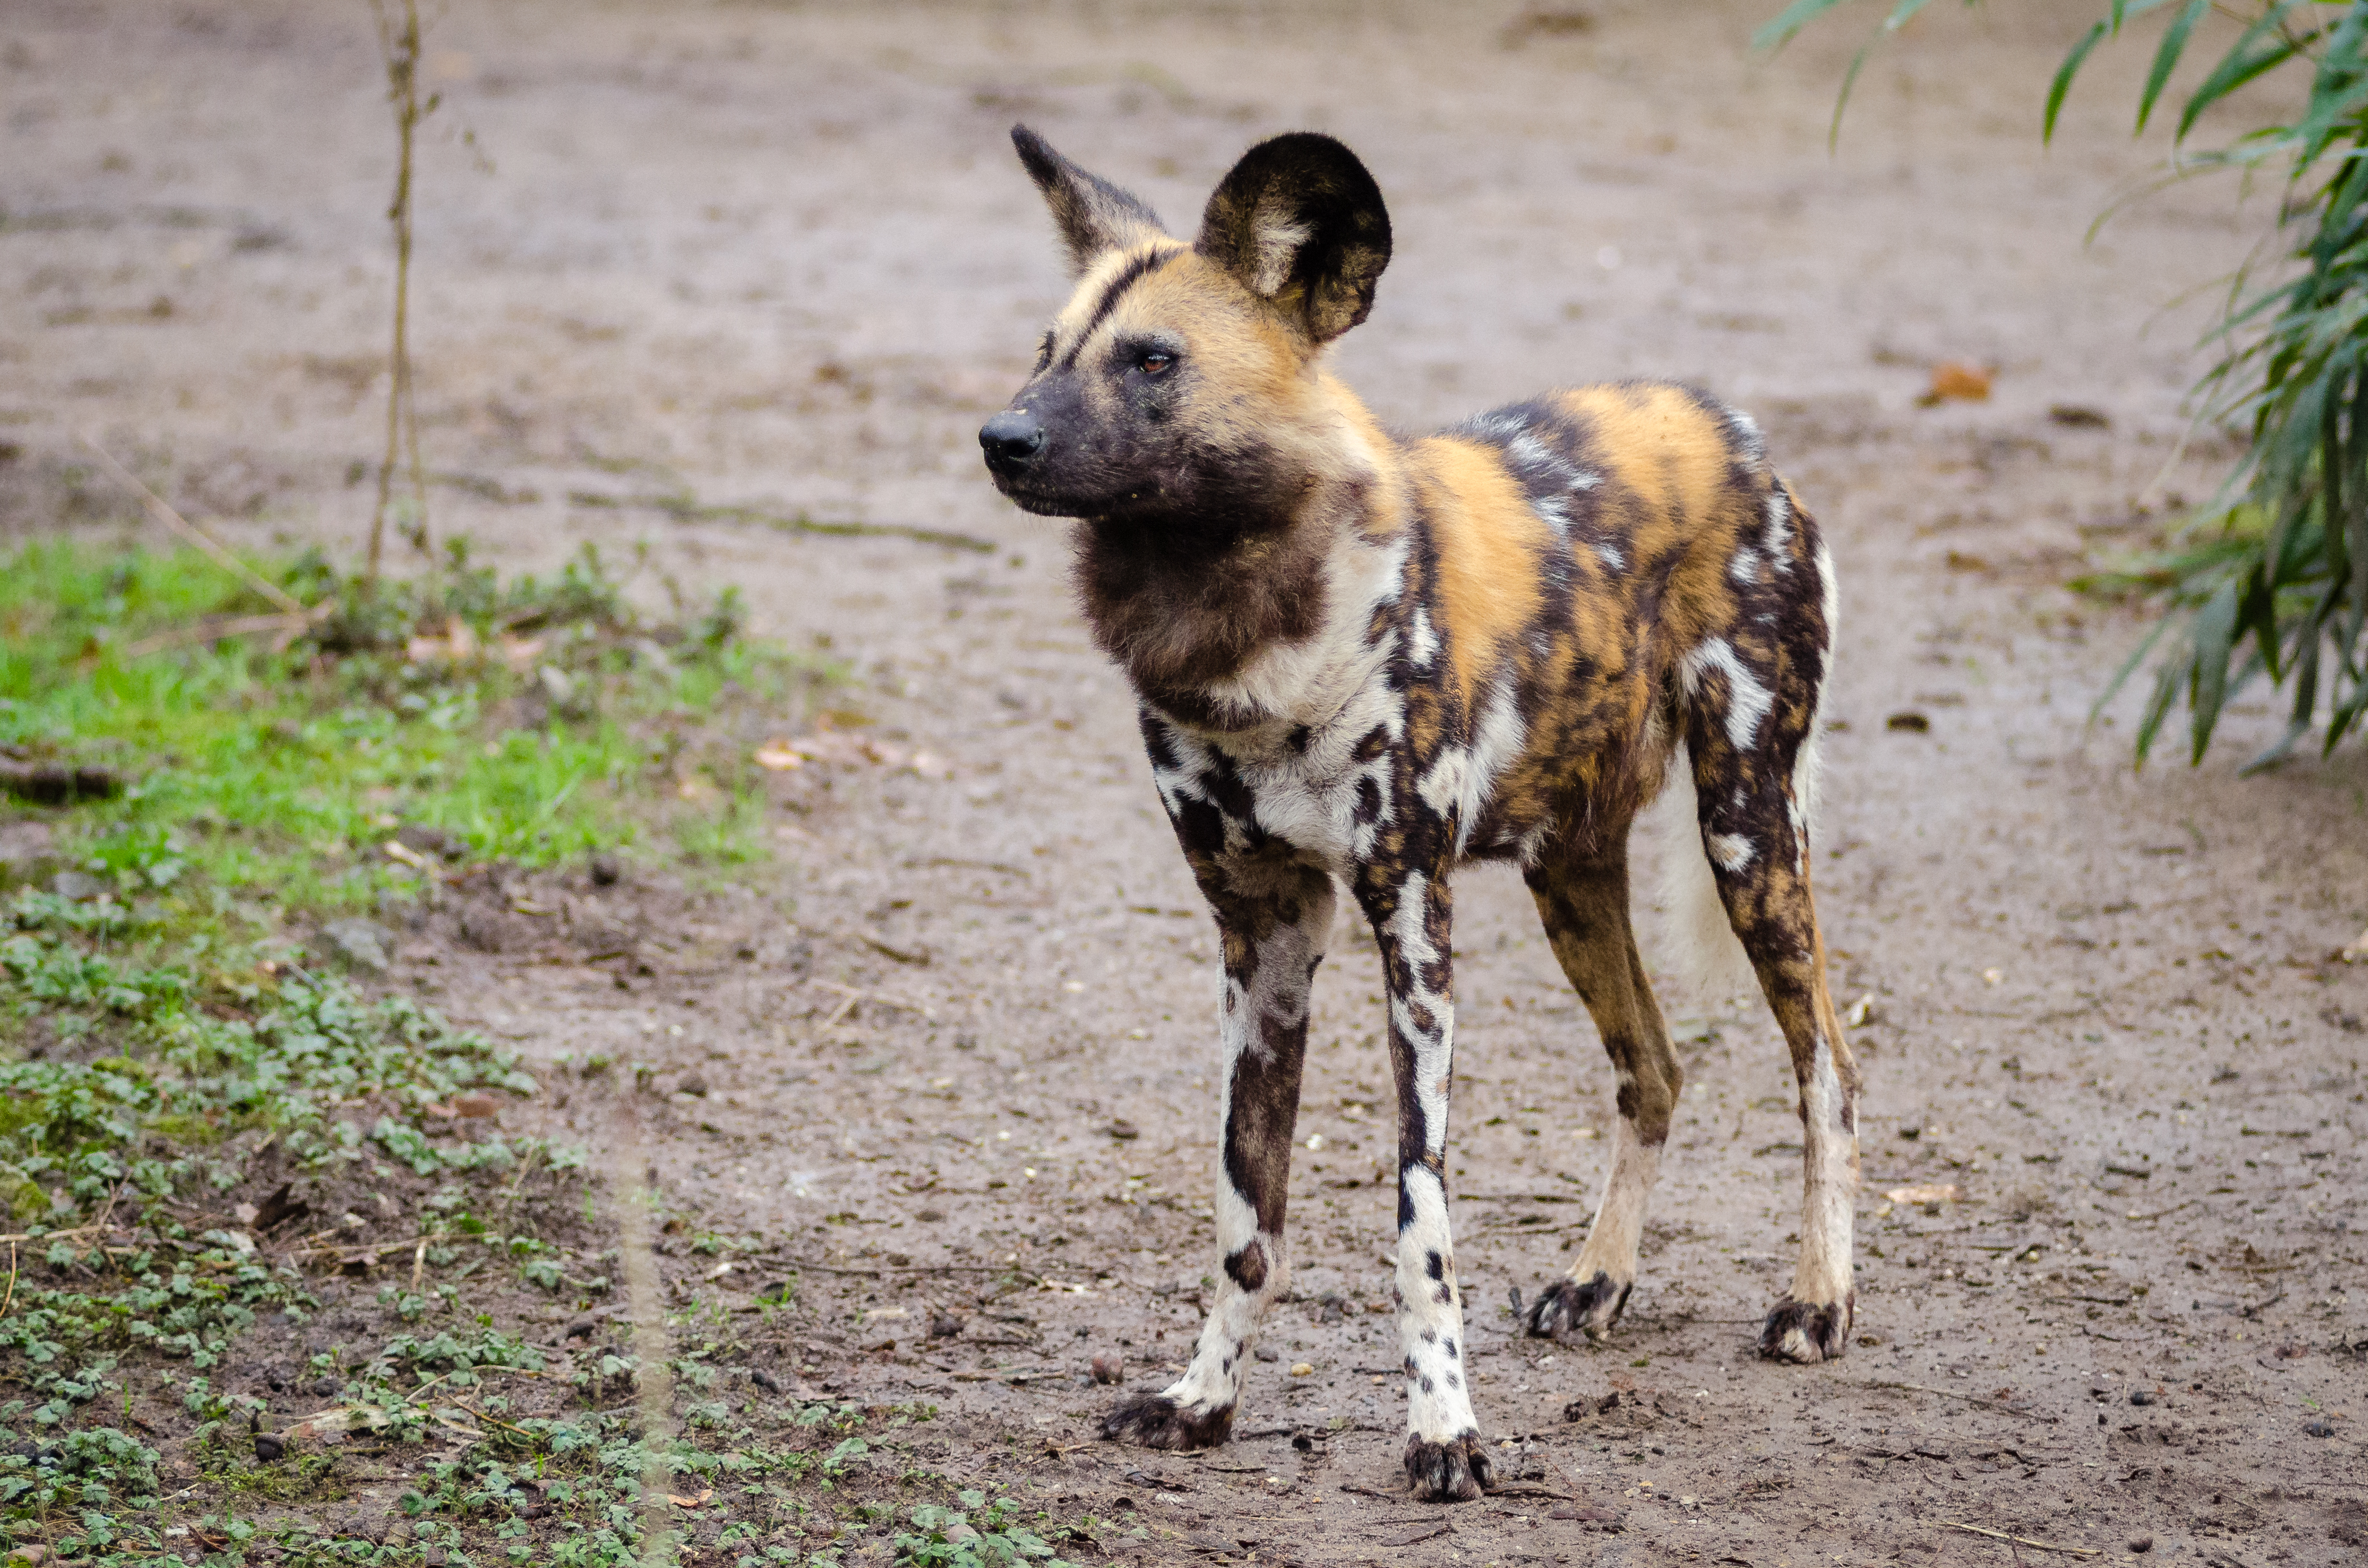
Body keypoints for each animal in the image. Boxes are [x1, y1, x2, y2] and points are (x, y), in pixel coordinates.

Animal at [971, 132, 1856, 1515]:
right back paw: (1598, 1279)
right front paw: (1204, 1400)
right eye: (1045, 347)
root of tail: (1733, 429)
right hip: (1570, 874)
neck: (1243, 634)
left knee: (1826, 1064)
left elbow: (1417, 1220)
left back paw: (1816, 1298)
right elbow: (1246, 1216)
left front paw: (1444, 1428)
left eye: (1153, 362)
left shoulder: (1410, 929)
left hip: (1747, 829)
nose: (1000, 436)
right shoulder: (1262, 940)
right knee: (1653, 1065)